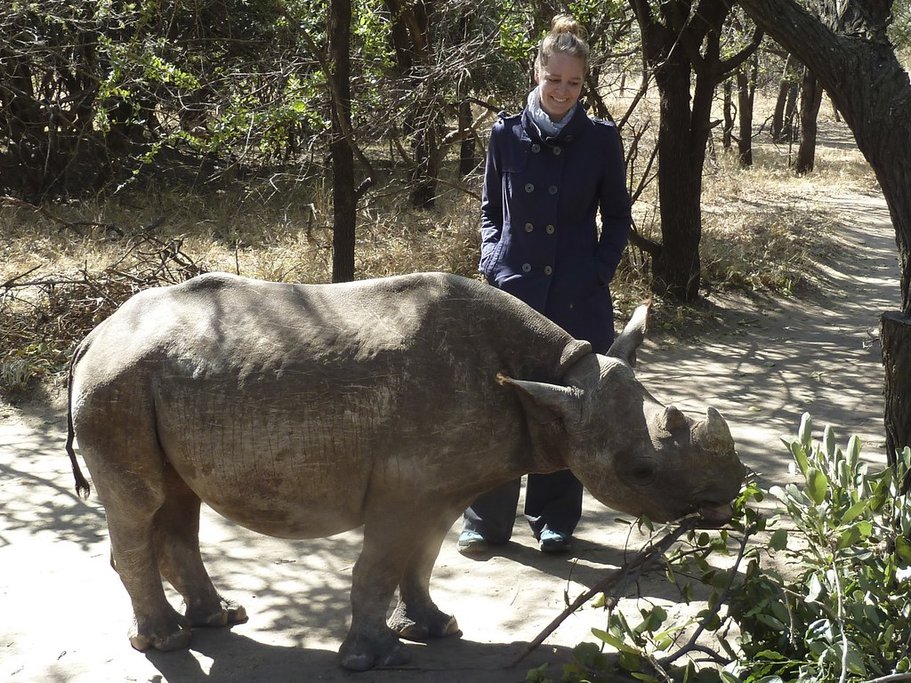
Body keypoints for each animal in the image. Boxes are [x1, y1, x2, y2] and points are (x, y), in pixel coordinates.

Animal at [66, 270, 748, 672]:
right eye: (640, 471)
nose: (730, 493)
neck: (555, 381)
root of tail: (95, 335)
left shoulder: (443, 486)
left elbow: (421, 560)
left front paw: (436, 628)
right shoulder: (405, 490)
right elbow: (380, 566)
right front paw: (373, 659)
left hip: (144, 383)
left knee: (177, 502)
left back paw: (219, 620)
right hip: (116, 385)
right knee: (139, 504)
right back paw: (167, 643)